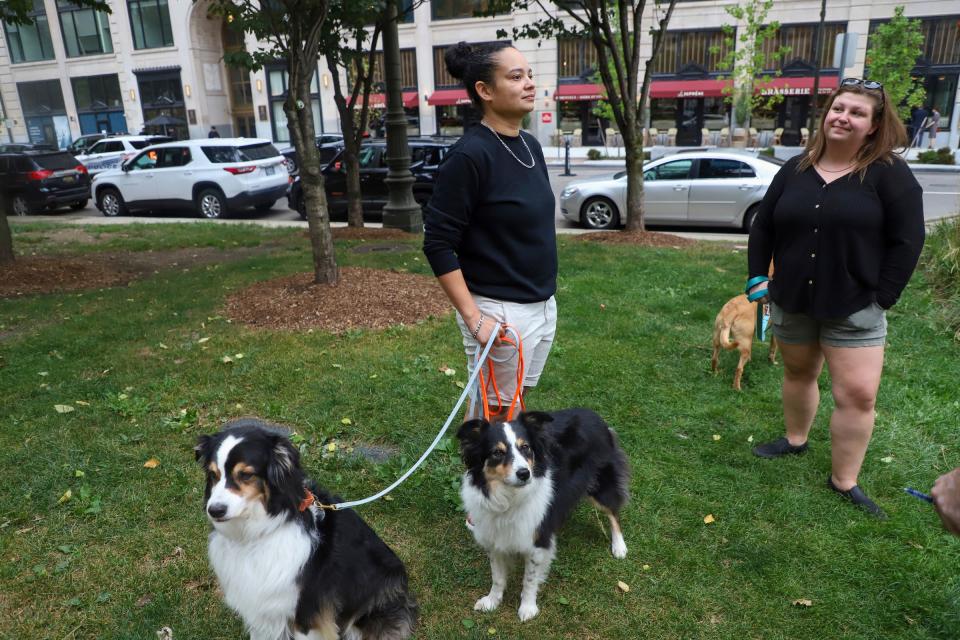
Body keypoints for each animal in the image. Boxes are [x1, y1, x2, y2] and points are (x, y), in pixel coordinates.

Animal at [458, 410, 632, 620]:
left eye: (526, 447)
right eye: (497, 452)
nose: (524, 473)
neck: (509, 496)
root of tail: (593, 415)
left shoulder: (537, 541)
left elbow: (530, 579)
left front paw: (527, 608)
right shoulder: (494, 538)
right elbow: (498, 576)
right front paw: (492, 601)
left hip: (600, 485)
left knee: (614, 512)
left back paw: (619, 546)